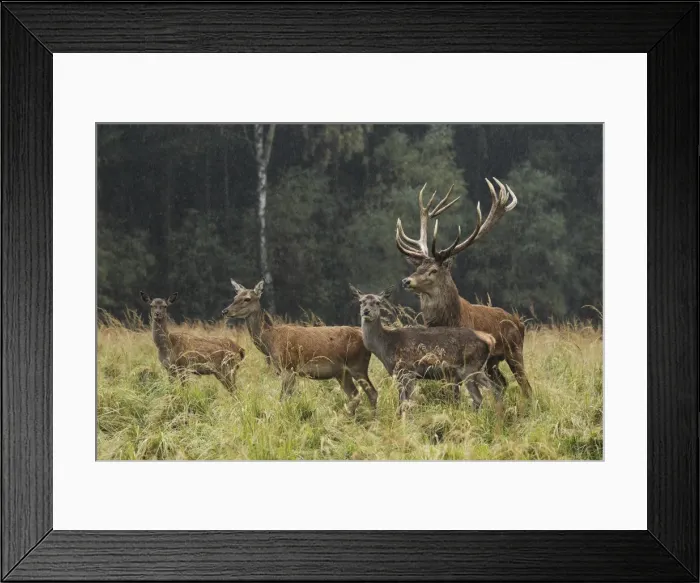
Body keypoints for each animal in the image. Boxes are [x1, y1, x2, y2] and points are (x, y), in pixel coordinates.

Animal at [221, 279, 378, 415]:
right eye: (235, 296)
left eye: (247, 298)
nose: (225, 311)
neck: (270, 341)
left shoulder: (288, 367)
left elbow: (283, 399)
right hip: (342, 372)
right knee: (354, 395)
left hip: (357, 365)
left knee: (372, 393)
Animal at [350, 285, 496, 414]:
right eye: (361, 301)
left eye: (377, 302)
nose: (366, 311)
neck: (386, 346)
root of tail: (489, 339)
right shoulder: (399, 374)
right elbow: (402, 402)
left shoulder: (407, 370)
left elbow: (406, 402)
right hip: (478, 369)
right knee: (495, 388)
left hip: (469, 368)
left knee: (478, 397)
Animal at [395, 178, 533, 398]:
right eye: (417, 267)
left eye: (433, 270)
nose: (406, 281)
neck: (449, 320)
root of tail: (518, 321)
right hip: (491, 363)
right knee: (502, 383)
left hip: (515, 350)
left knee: (525, 386)